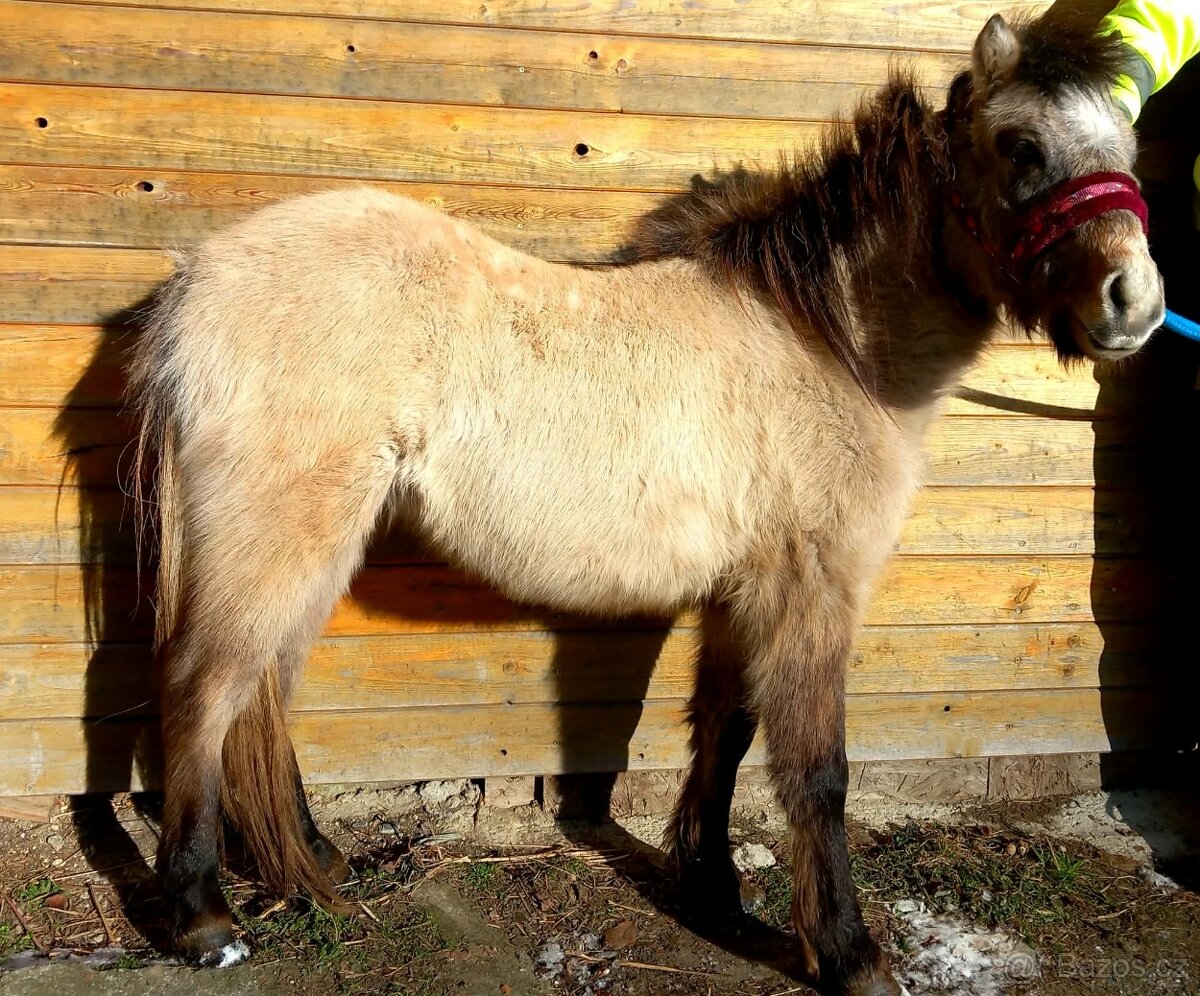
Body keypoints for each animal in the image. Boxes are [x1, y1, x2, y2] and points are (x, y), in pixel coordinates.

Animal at [126, 9, 1163, 994]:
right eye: (1019, 146)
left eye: (1126, 148)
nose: (1136, 304)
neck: (827, 341)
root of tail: (194, 286)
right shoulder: (813, 587)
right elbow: (816, 770)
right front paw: (849, 955)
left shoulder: (747, 587)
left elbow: (727, 731)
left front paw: (711, 890)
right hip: (282, 535)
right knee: (205, 689)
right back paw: (204, 919)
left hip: (314, 544)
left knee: (262, 689)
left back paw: (316, 858)